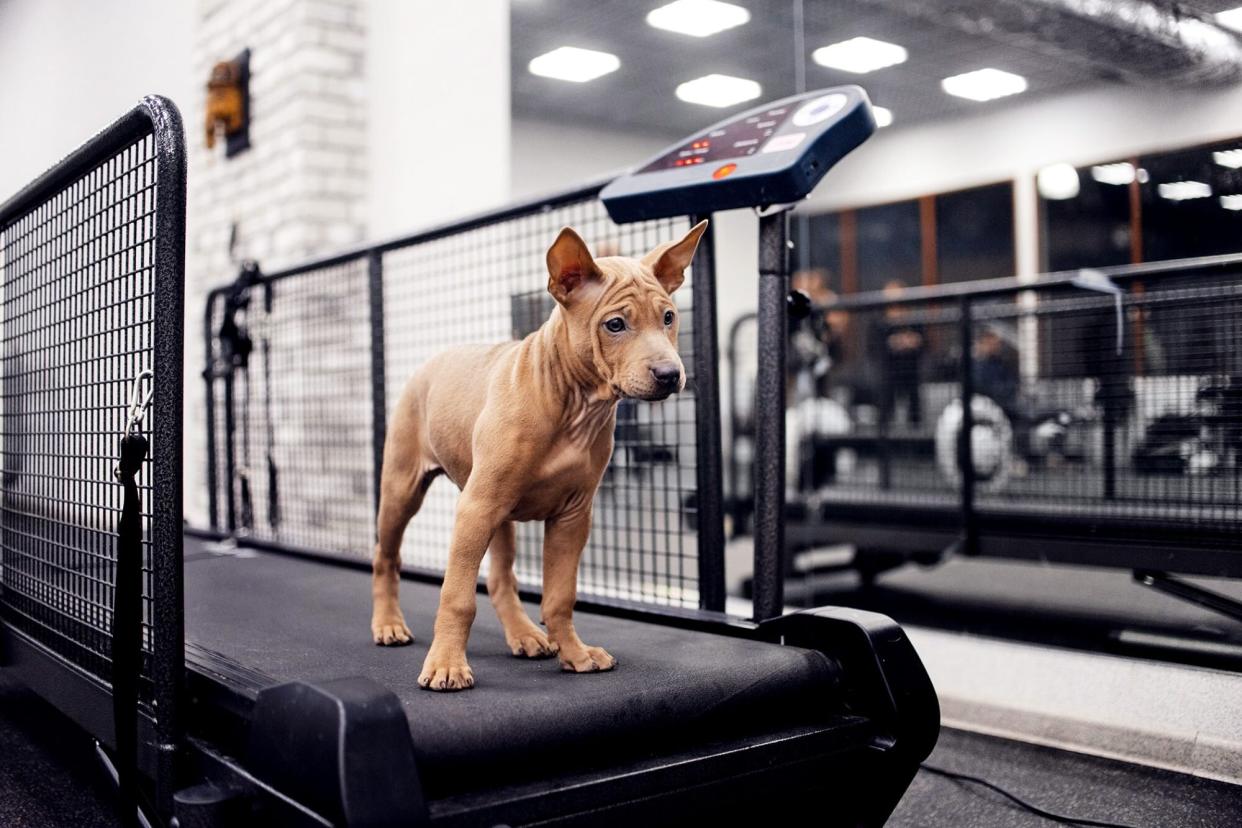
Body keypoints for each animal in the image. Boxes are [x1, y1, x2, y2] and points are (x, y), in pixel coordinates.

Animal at [367, 217, 710, 690]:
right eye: (615, 325)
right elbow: (457, 597)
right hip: (408, 490)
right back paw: (388, 624)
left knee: (499, 579)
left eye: (669, 317)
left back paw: (525, 635)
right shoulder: (477, 507)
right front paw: (447, 664)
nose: (669, 374)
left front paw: (575, 654)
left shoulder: (572, 515)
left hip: (499, 514)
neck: (575, 406)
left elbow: (560, 597)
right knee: (386, 556)